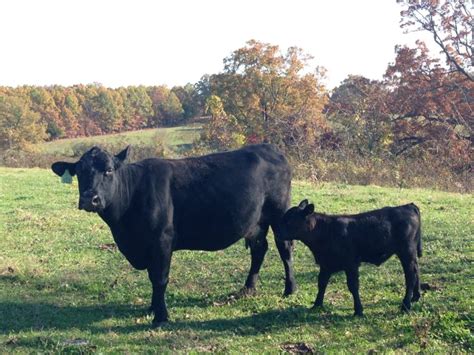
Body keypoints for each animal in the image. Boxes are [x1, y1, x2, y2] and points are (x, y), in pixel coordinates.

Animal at [51, 143, 296, 326]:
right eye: (79, 172)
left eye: (109, 170)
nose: (89, 198)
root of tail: (269, 148)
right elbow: (152, 276)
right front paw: (152, 307)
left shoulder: (161, 240)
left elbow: (159, 278)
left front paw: (161, 317)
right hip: (256, 223)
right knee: (259, 249)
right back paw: (248, 289)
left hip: (279, 214)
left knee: (284, 248)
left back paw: (290, 289)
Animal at [280, 200, 420, 318]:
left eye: (290, 220)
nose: (278, 233)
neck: (326, 231)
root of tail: (408, 206)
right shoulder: (326, 264)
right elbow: (321, 283)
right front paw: (316, 305)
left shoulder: (351, 264)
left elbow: (353, 286)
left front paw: (358, 310)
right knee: (416, 270)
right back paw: (416, 297)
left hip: (406, 252)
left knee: (410, 276)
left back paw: (406, 306)